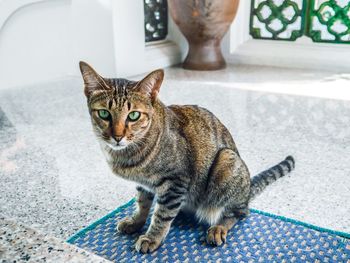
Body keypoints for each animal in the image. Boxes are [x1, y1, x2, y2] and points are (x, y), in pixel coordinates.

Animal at [79, 61, 296, 254]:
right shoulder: (144, 184)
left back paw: (219, 227)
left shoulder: (176, 181)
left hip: (226, 162)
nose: (117, 136)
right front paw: (136, 222)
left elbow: (161, 215)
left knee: (239, 212)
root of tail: (248, 189)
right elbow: (142, 204)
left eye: (133, 116)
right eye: (104, 113)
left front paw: (152, 237)